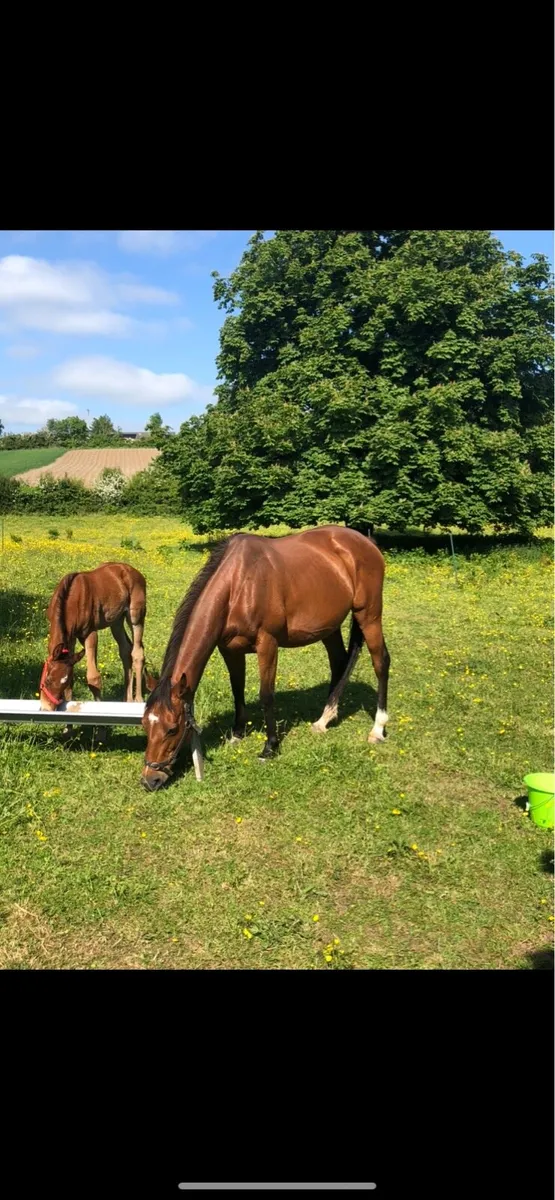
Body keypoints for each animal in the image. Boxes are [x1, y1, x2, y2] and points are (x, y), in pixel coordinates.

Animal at [40, 563, 147, 712]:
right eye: (48, 680)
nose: (46, 708)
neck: (70, 599)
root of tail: (134, 571)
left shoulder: (90, 634)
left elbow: (93, 678)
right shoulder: (71, 639)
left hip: (136, 617)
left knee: (137, 653)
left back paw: (138, 699)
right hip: (116, 622)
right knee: (126, 651)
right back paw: (127, 699)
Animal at [141, 525, 390, 792]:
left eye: (172, 729)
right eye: (145, 724)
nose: (150, 779)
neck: (239, 585)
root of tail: (366, 541)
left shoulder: (268, 644)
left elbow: (266, 696)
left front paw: (269, 747)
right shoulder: (229, 649)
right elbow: (237, 689)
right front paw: (237, 733)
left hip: (369, 615)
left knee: (381, 662)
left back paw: (377, 729)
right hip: (329, 627)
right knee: (339, 662)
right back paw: (324, 719)